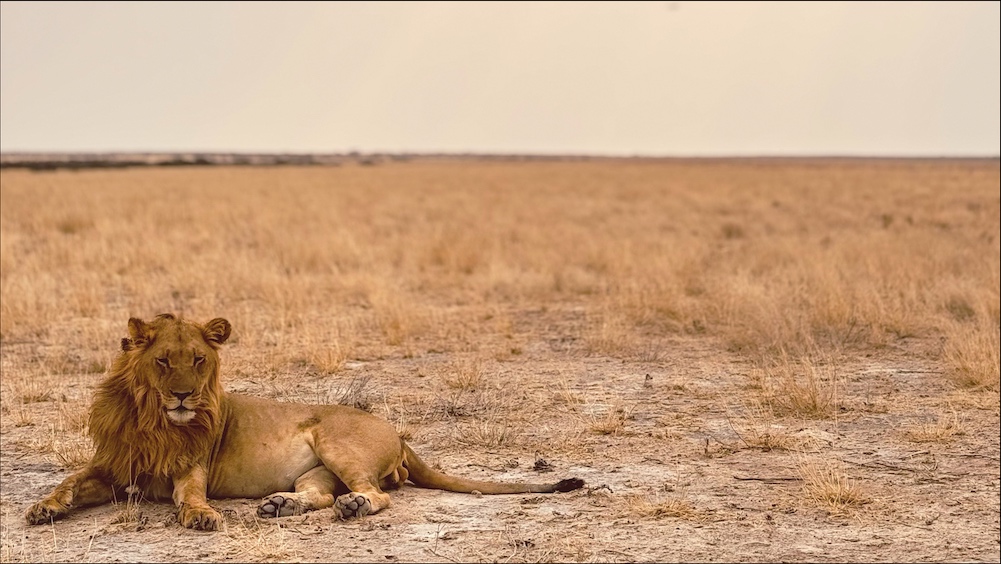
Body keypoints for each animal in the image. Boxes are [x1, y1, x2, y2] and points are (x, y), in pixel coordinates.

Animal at [25, 314, 584, 530]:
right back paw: (280, 505)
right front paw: (44, 508)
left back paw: (354, 506)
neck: (152, 418)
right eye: (163, 361)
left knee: (373, 494)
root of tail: (398, 433)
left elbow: (190, 496)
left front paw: (201, 516)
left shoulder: (189, 468)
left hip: (336, 443)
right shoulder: (113, 468)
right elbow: (71, 481)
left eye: (198, 360)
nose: (185, 395)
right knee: (317, 494)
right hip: (316, 470)